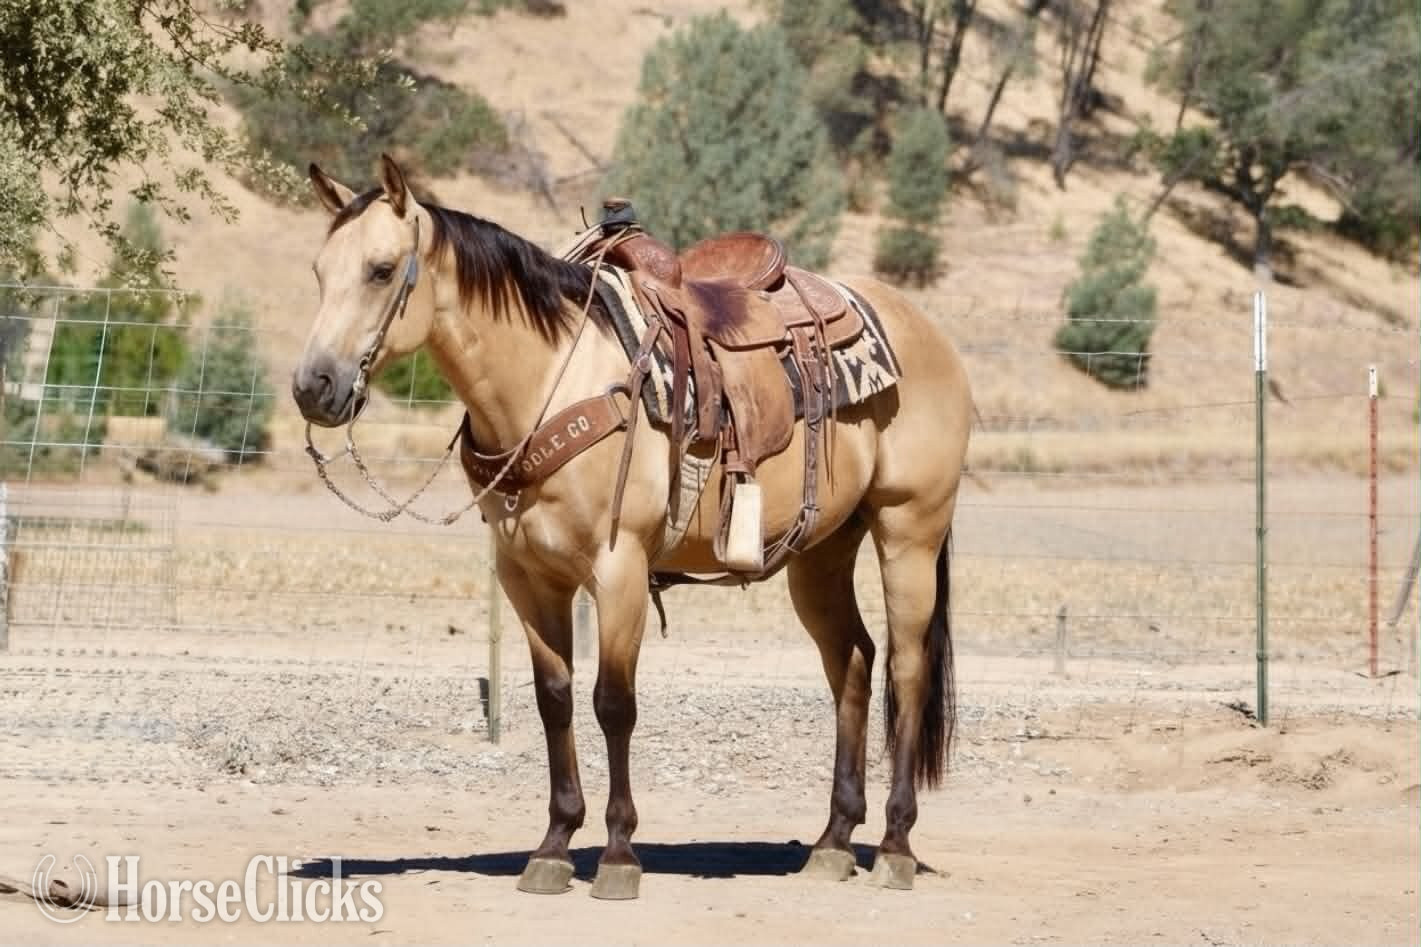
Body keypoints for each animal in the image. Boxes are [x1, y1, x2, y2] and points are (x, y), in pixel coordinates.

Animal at [291, 155, 973, 900]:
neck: (550, 380)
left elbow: (613, 701)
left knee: (906, 669)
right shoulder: (528, 577)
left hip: (908, 531)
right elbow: (555, 698)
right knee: (850, 662)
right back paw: (831, 841)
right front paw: (554, 845)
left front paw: (618, 854)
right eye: (318, 271)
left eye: (382, 270)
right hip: (820, 552)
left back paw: (895, 846)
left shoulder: (618, 569)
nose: (313, 385)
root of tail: (927, 332)